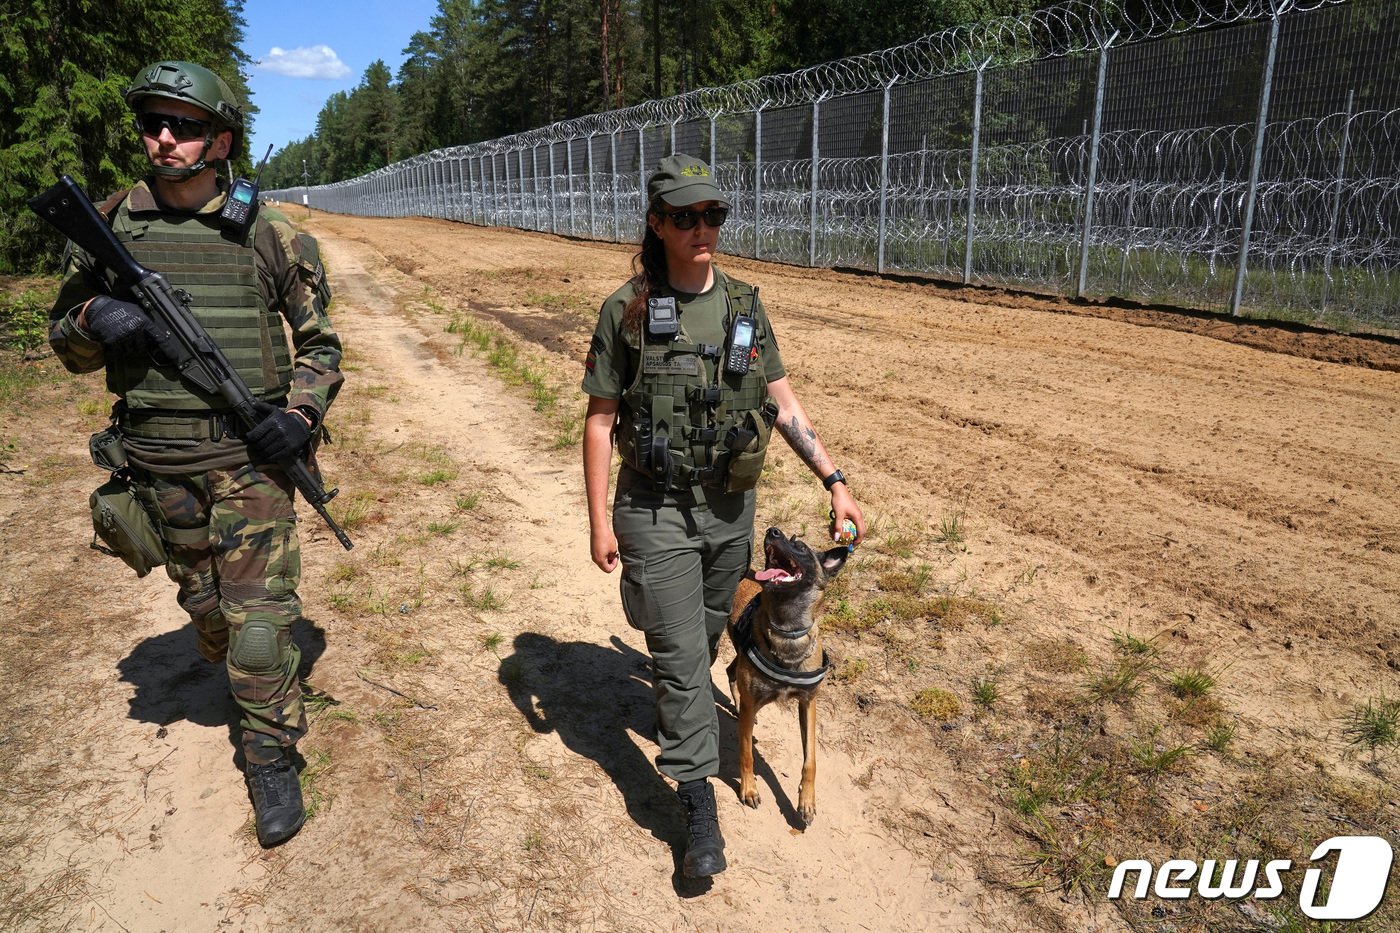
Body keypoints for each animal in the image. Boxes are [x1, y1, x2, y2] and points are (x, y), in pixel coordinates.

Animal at [728, 523, 845, 823]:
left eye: (800, 546)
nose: (772, 531)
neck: (786, 632)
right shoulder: (753, 702)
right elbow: (746, 754)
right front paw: (749, 788)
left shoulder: (808, 704)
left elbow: (810, 761)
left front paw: (807, 801)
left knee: (731, 671)